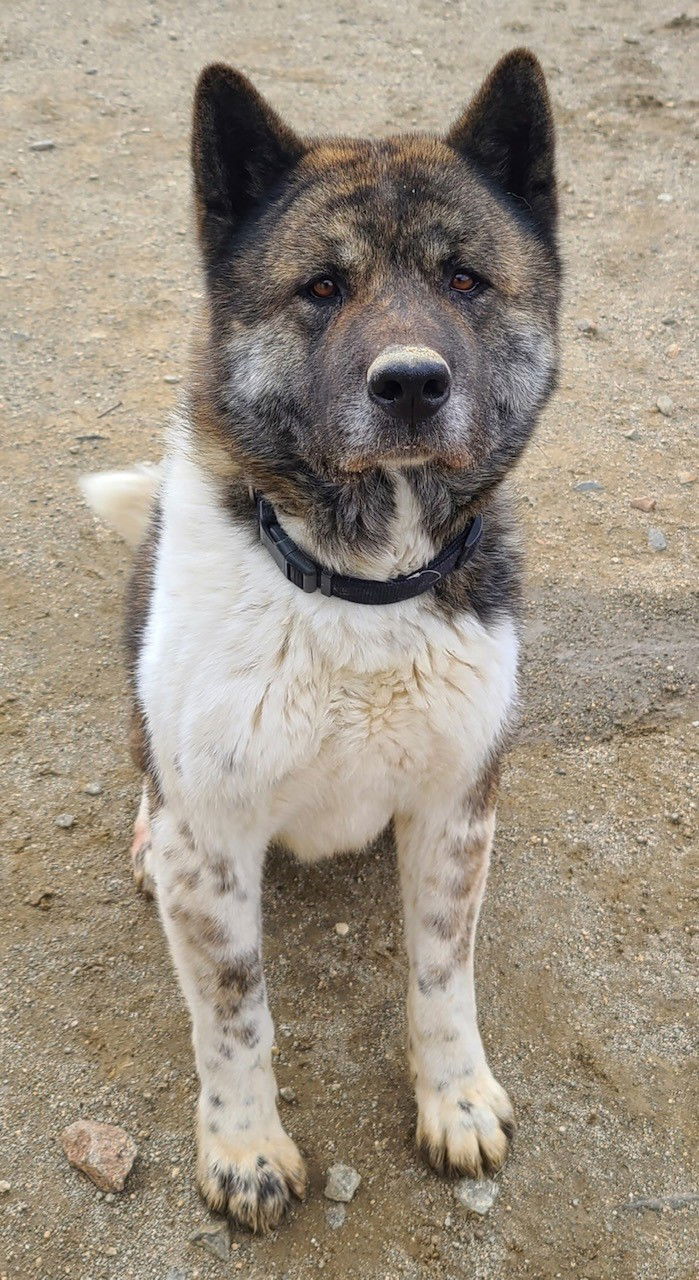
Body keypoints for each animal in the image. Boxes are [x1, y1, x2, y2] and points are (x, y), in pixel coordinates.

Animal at [81, 49, 558, 1228]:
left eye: (465, 281)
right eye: (322, 288)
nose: (413, 383)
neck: (361, 589)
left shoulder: (453, 814)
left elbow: (441, 976)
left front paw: (455, 1098)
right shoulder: (212, 846)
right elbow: (234, 1016)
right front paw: (244, 1147)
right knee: (146, 771)